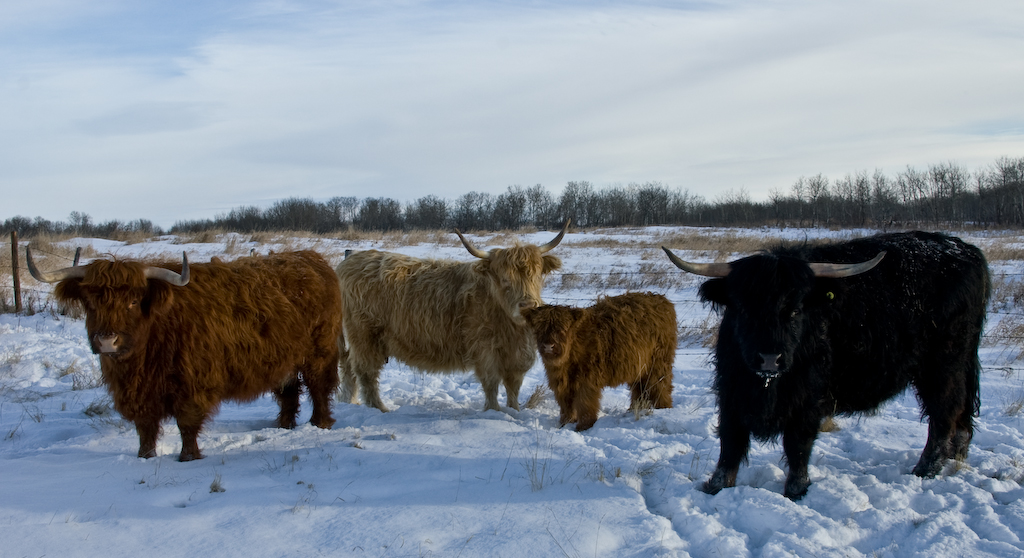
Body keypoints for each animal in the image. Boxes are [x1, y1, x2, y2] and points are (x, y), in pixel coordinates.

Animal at [524, 290, 675, 430]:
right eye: (539, 328)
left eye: (562, 329)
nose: (548, 346)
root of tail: (661, 299)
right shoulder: (561, 382)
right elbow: (565, 403)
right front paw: (565, 423)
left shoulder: (587, 380)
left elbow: (585, 403)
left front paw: (584, 426)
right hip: (638, 366)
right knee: (639, 389)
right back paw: (634, 410)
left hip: (658, 362)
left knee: (660, 385)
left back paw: (663, 408)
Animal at [663, 230, 991, 499]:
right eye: (743, 309)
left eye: (795, 310)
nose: (769, 358)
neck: (767, 385)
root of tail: (965, 250)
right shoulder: (732, 390)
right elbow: (730, 442)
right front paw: (715, 486)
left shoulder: (809, 396)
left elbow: (798, 443)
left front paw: (795, 490)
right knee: (961, 411)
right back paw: (954, 456)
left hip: (943, 364)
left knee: (944, 411)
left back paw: (926, 469)